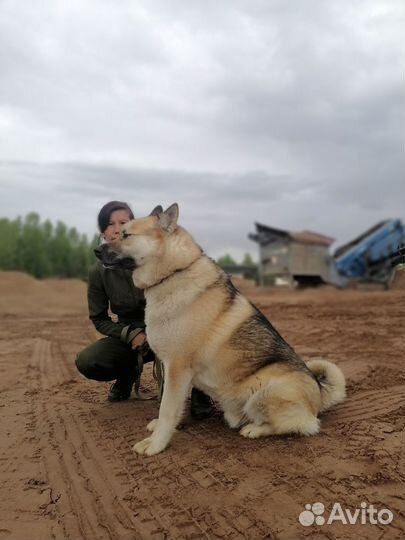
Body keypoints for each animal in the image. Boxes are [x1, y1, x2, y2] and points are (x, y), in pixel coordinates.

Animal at [100, 204, 344, 456]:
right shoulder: (171, 369)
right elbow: (168, 405)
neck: (174, 272)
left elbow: (167, 408)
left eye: (125, 235)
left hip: (264, 392)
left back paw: (254, 429)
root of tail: (319, 393)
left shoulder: (177, 367)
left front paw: (156, 443)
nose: (97, 250)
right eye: (117, 232)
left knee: (303, 424)